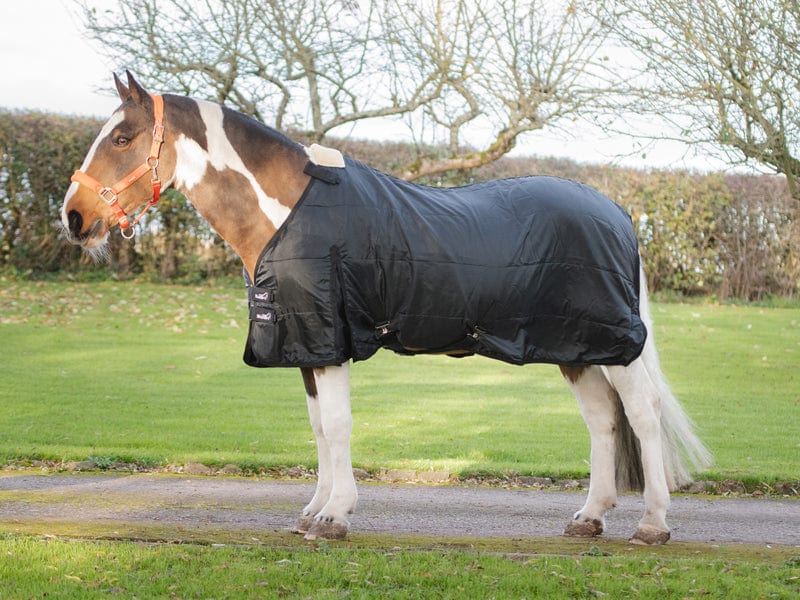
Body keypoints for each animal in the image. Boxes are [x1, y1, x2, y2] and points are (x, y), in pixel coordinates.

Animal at [61, 72, 711, 545]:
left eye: (122, 138)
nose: (74, 217)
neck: (290, 211)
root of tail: (618, 213)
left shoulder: (333, 341)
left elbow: (339, 426)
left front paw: (335, 517)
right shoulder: (307, 344)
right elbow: (319, 428)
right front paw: (311, 512)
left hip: (616, 347)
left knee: (643, 417)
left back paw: (652, 525)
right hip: (576, 348)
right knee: (603, 422)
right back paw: (589, 518)